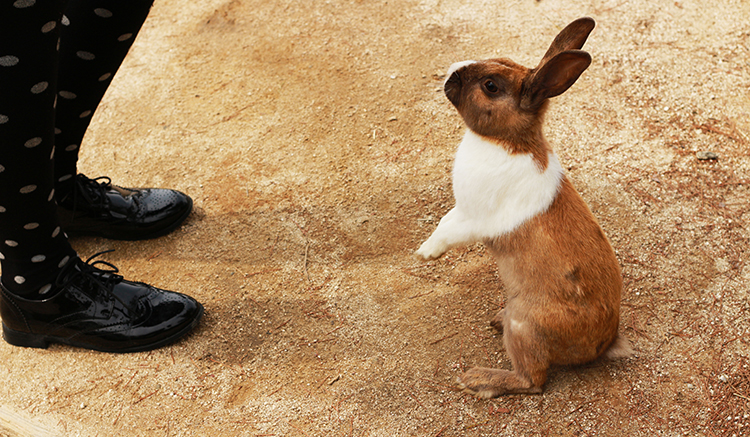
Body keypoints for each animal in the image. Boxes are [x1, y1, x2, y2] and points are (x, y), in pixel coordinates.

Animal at [420, 17, 632, 396]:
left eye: (490, 86)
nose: (450, 73)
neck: (504, 140)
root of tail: (603, 344)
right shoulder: (461, 209)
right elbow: (445, 220)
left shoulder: (473, 218)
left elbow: (445, 231)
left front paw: (425, 253)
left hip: (525, 326)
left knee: (532, 381)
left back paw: (477, 379)